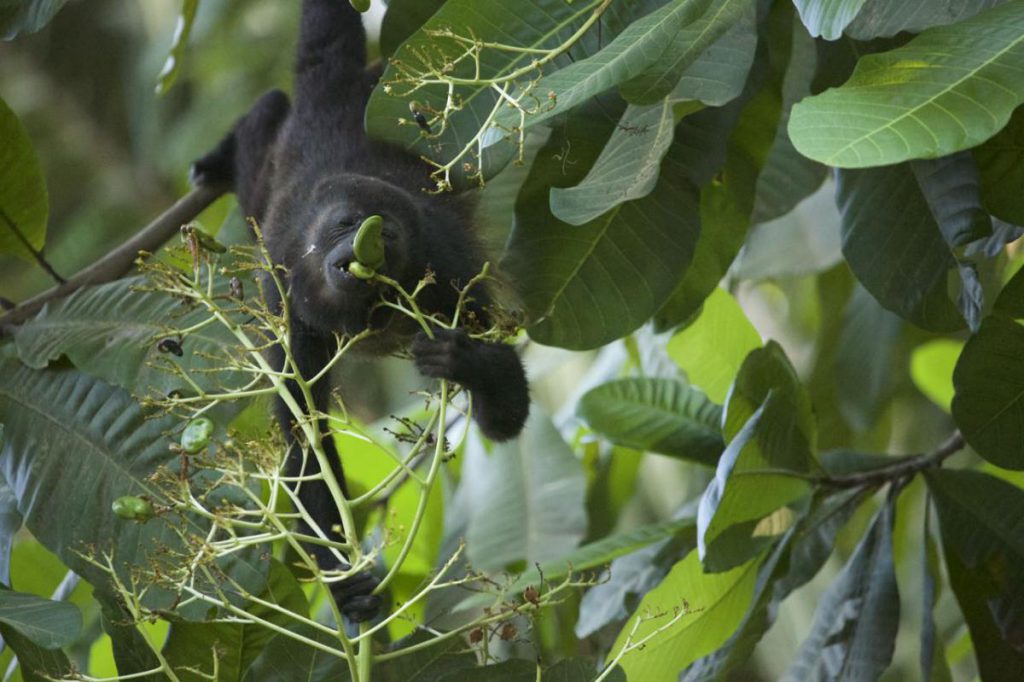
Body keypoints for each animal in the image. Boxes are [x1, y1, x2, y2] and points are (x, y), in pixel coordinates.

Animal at [189, 0, 532, 618]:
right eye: (344, 224)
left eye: (379, 225)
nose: (366, 238)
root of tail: (333, 94)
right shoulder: (285, 301)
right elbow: (305, 443)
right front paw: (341, 576)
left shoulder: (447, 265)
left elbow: (505, 414)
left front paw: (470, 365)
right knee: (263, 135)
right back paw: (229, 150)